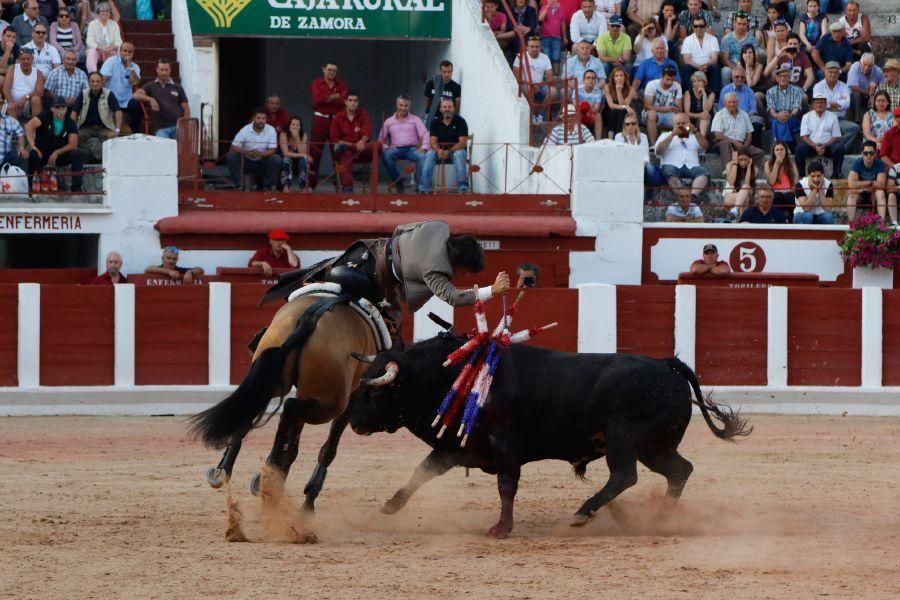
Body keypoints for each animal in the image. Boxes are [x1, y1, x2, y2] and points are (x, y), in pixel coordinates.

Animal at [188, 288, 388, 512]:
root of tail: (311, 315)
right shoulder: (352, 397)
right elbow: (328, 447)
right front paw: (307, 501)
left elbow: (293, 443)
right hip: (331, 403)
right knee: (290, 408)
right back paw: (269, 479)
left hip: (273, 375)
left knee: (253, 409)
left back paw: (228, 471)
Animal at [348, 336, 748, 536]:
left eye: (376, 392)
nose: (352, 422)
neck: (455, 376)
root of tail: (667, 365)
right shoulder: (455, 448)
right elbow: (420, 474)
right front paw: (388, 508)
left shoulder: (504, 447)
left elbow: (506, 486)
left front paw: (501, 529)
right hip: (654, 446)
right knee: (680, 470)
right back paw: (660, 519)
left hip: (625, 439)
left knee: (624, 475)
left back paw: (584, 512)